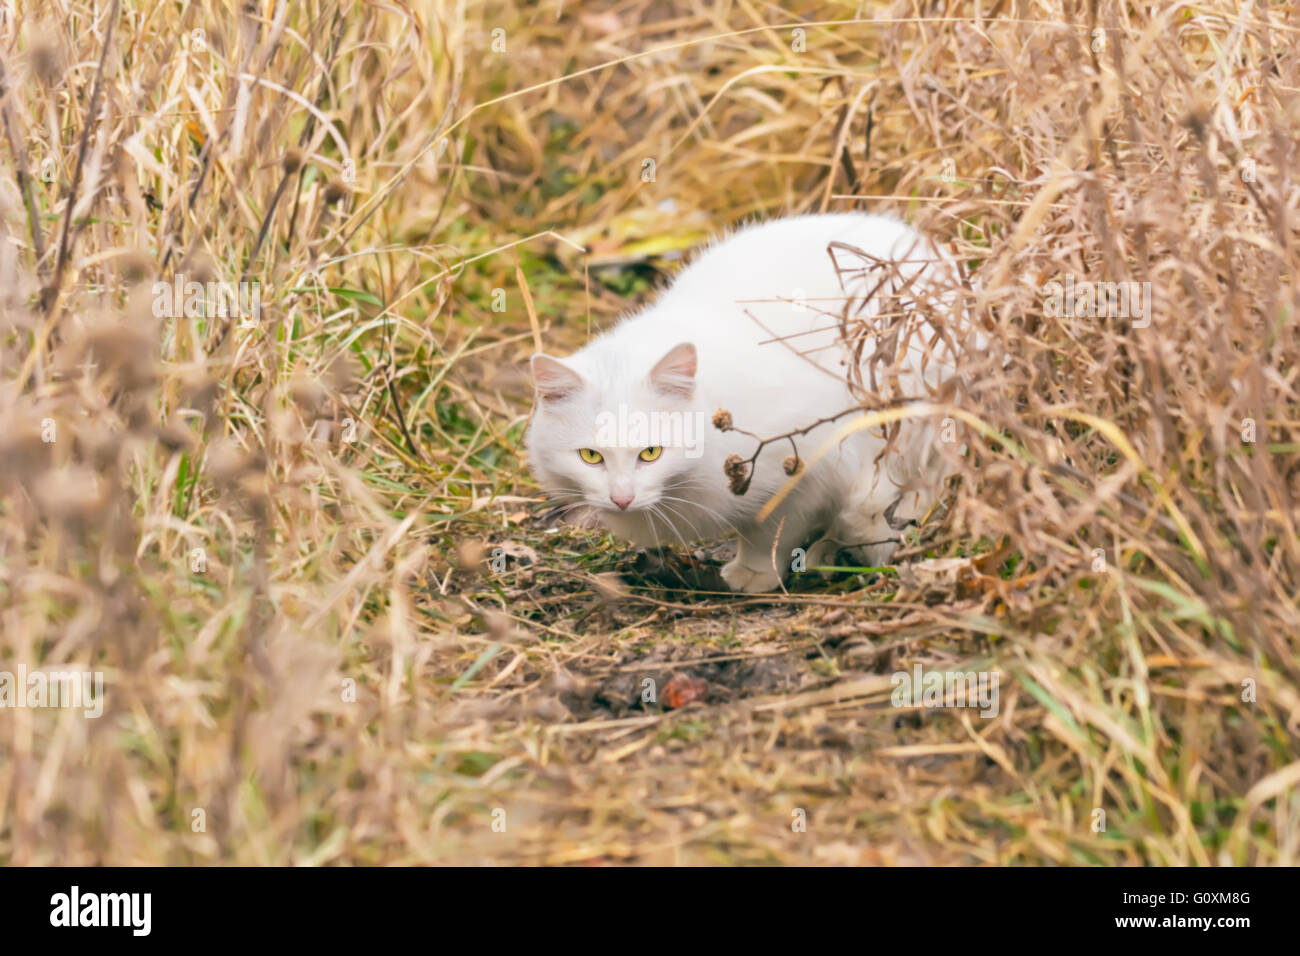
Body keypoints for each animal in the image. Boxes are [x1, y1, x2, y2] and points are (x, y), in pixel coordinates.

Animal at [522, 210, 972, 590]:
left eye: (650, 453)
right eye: (591, 456)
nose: (622, 499)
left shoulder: (804, 468)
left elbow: (768, 531)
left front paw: (754, 573)